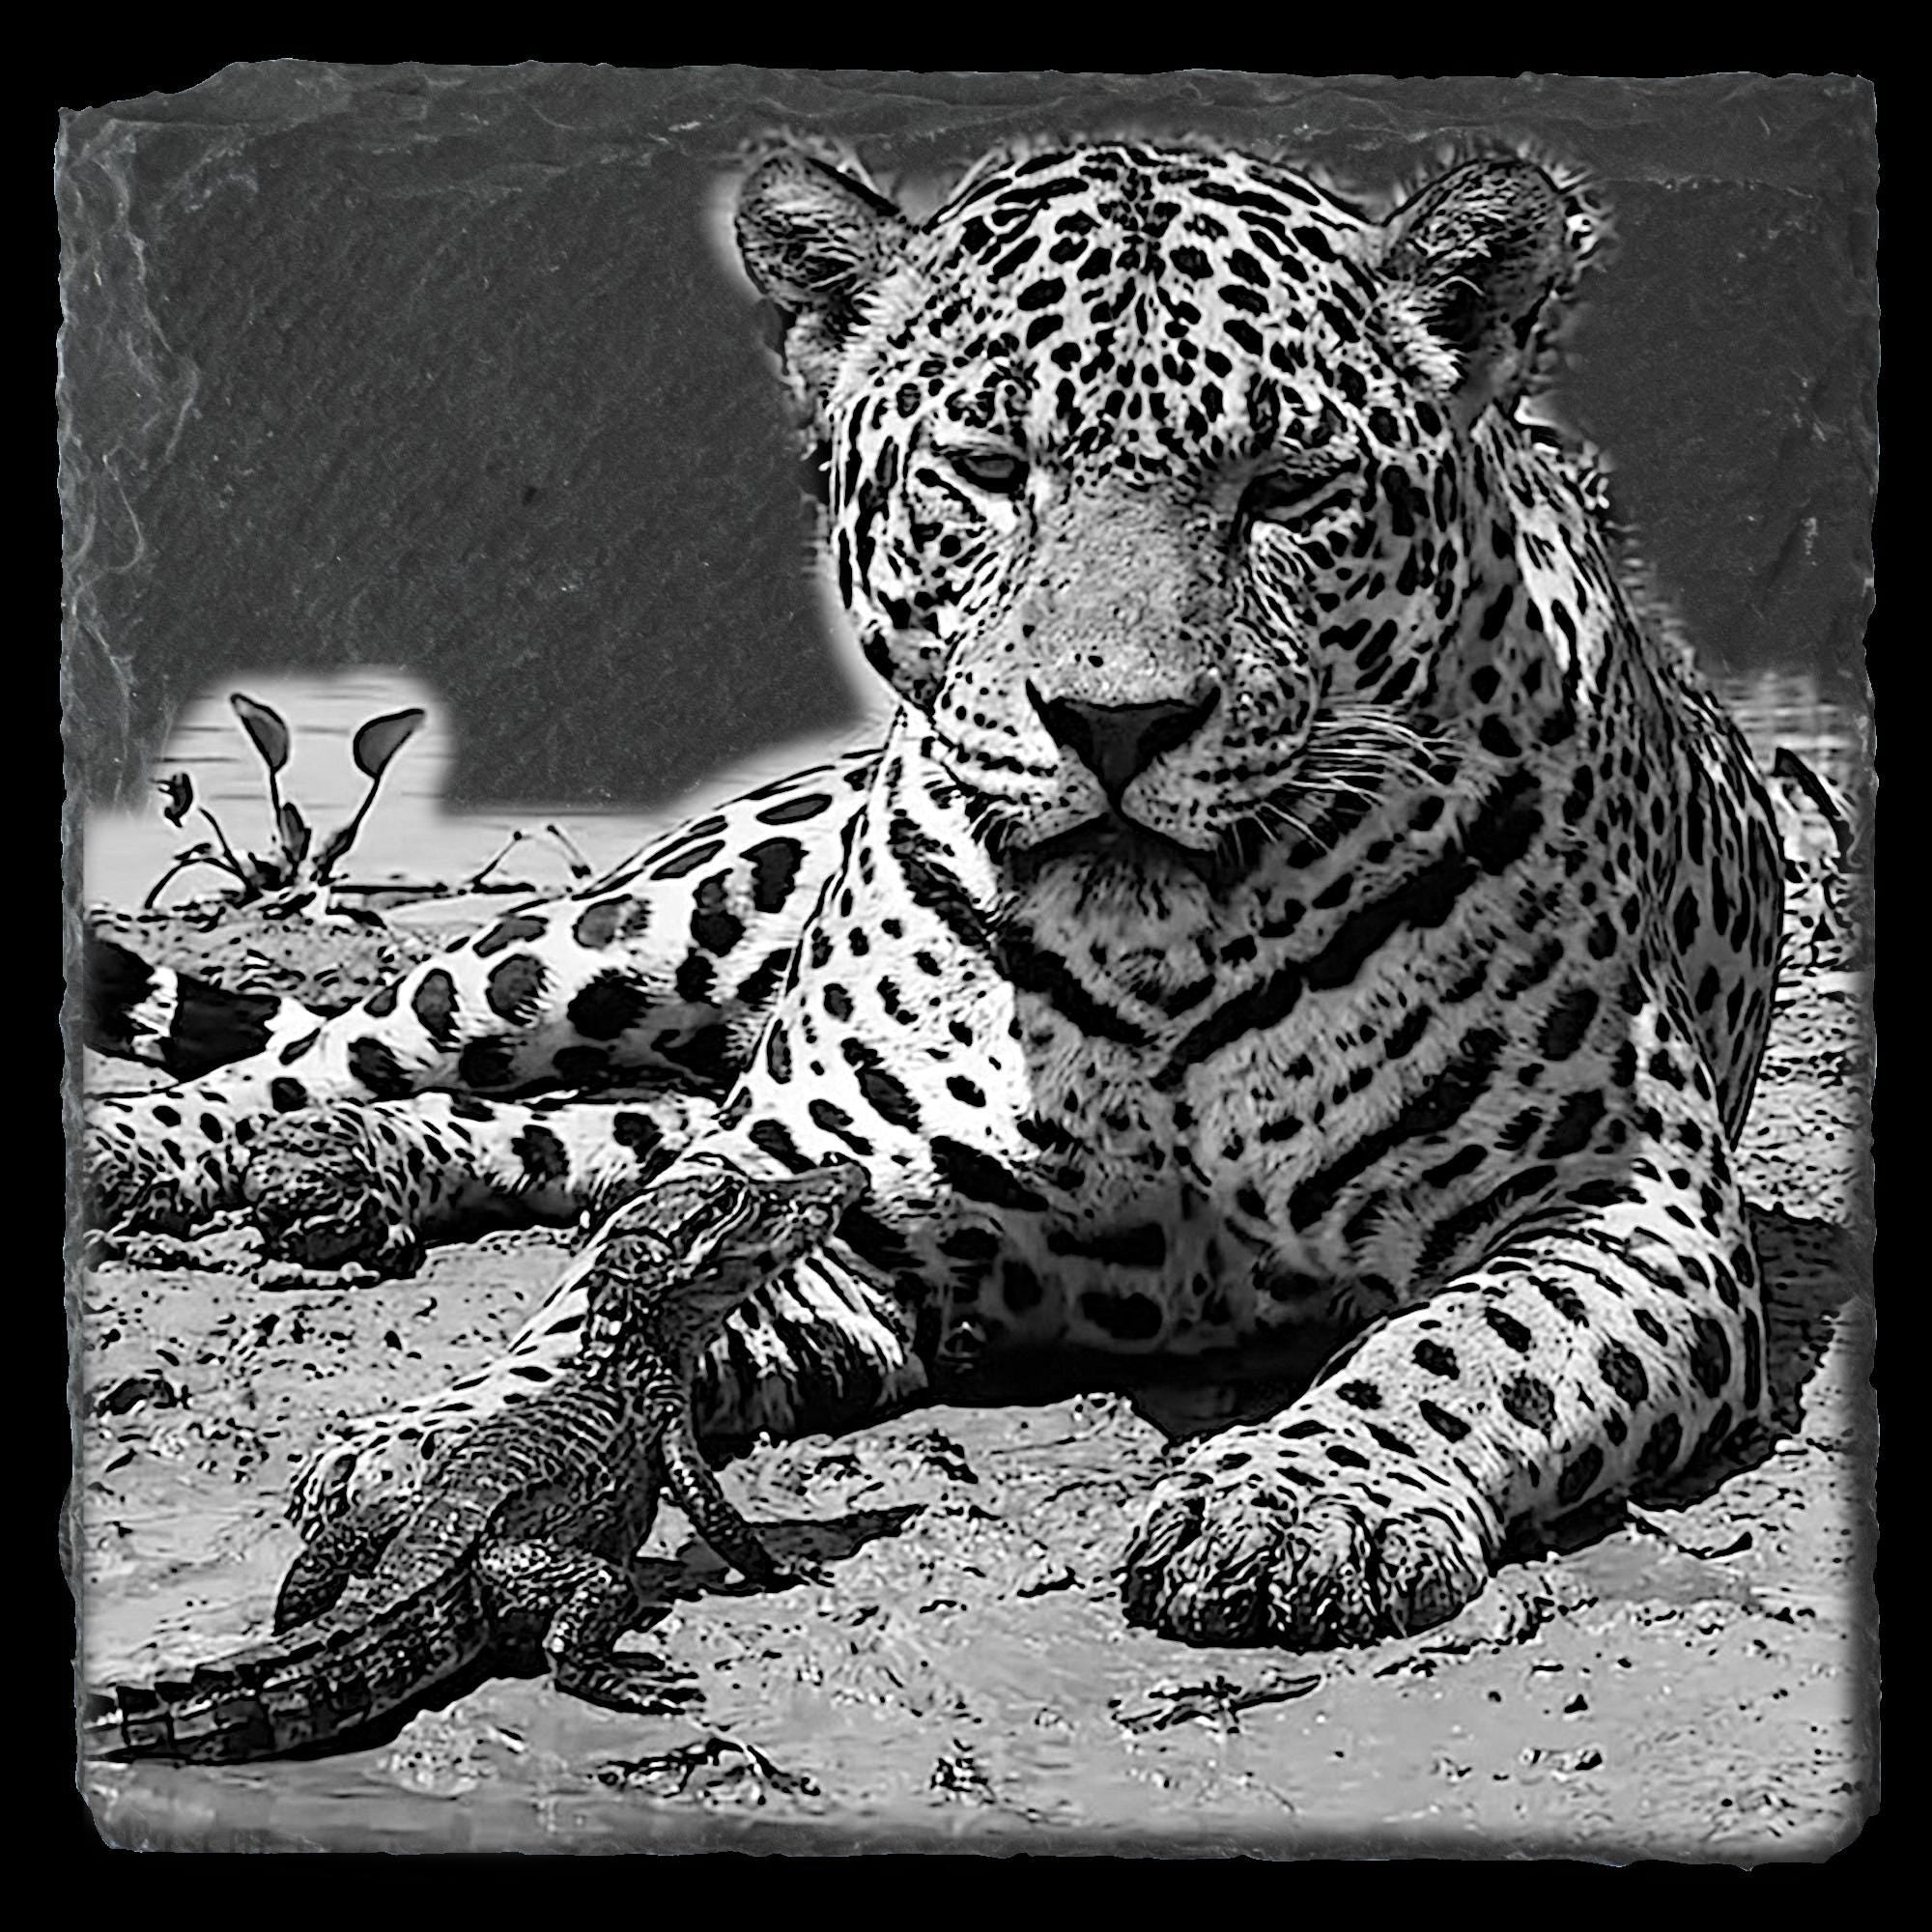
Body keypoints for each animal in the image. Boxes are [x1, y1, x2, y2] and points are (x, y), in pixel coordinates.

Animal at [80, 136, 1789, 1650]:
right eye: (989, 471)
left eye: (1289, 487)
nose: (1118, 721)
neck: (1161, 952)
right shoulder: (826, 1195)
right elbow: (603, 1303)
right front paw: (463, 1445)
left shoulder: (1622, 1206)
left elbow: (1457, 1345)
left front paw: (1297, 1502)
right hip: (657, 923)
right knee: (361, 1040)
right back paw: (179, 1148)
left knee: (606, 1131)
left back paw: (348, 1169)